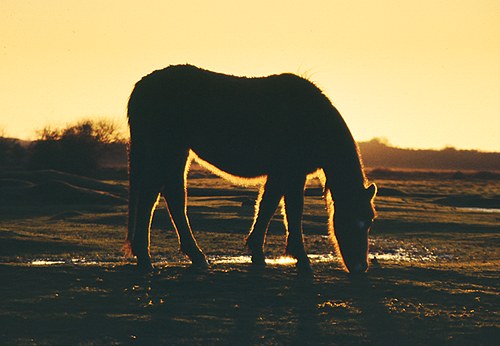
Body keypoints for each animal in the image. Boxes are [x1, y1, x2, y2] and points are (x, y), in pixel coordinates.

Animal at [123, 65, 376, 274]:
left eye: (369, 220)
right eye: (354, 218)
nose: (360, 267)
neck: (311, 119)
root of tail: (141, 86)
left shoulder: (284, 174)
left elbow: (269, 206)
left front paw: (258, 252)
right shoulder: (290, 173)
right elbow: (291, 211)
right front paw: (300, 258)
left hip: (176, 152)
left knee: (171, 195)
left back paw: (191, 256)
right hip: (167, 150)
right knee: (153, 196)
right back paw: (148, 258)